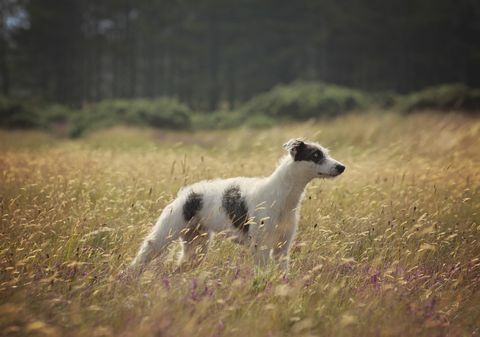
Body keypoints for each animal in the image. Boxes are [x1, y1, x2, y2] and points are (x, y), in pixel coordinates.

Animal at [127, 138, 344, 272]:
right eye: (315, 155)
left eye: (325, 153)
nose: (342, 167)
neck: (282, 194)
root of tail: (187, 193)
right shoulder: (261, 247)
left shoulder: (282, 248)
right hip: (163, 236)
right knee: (140, 259)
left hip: (196, 245)